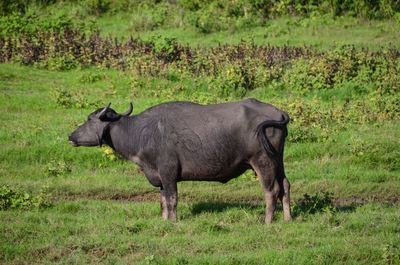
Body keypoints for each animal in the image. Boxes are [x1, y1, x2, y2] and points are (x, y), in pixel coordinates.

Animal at [69, 98, 290, 222]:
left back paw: (267, 221)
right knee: (285, 186)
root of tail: (279, 112)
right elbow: (162, 201)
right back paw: (288, 218)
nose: (71, 136)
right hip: (278, 160)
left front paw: (173, 222)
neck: (141, 132)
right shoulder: (159, 176)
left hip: (263, 161)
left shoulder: (168, 172)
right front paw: (164, 221)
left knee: (271, 190)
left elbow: (172, 199)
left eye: (89, 119)